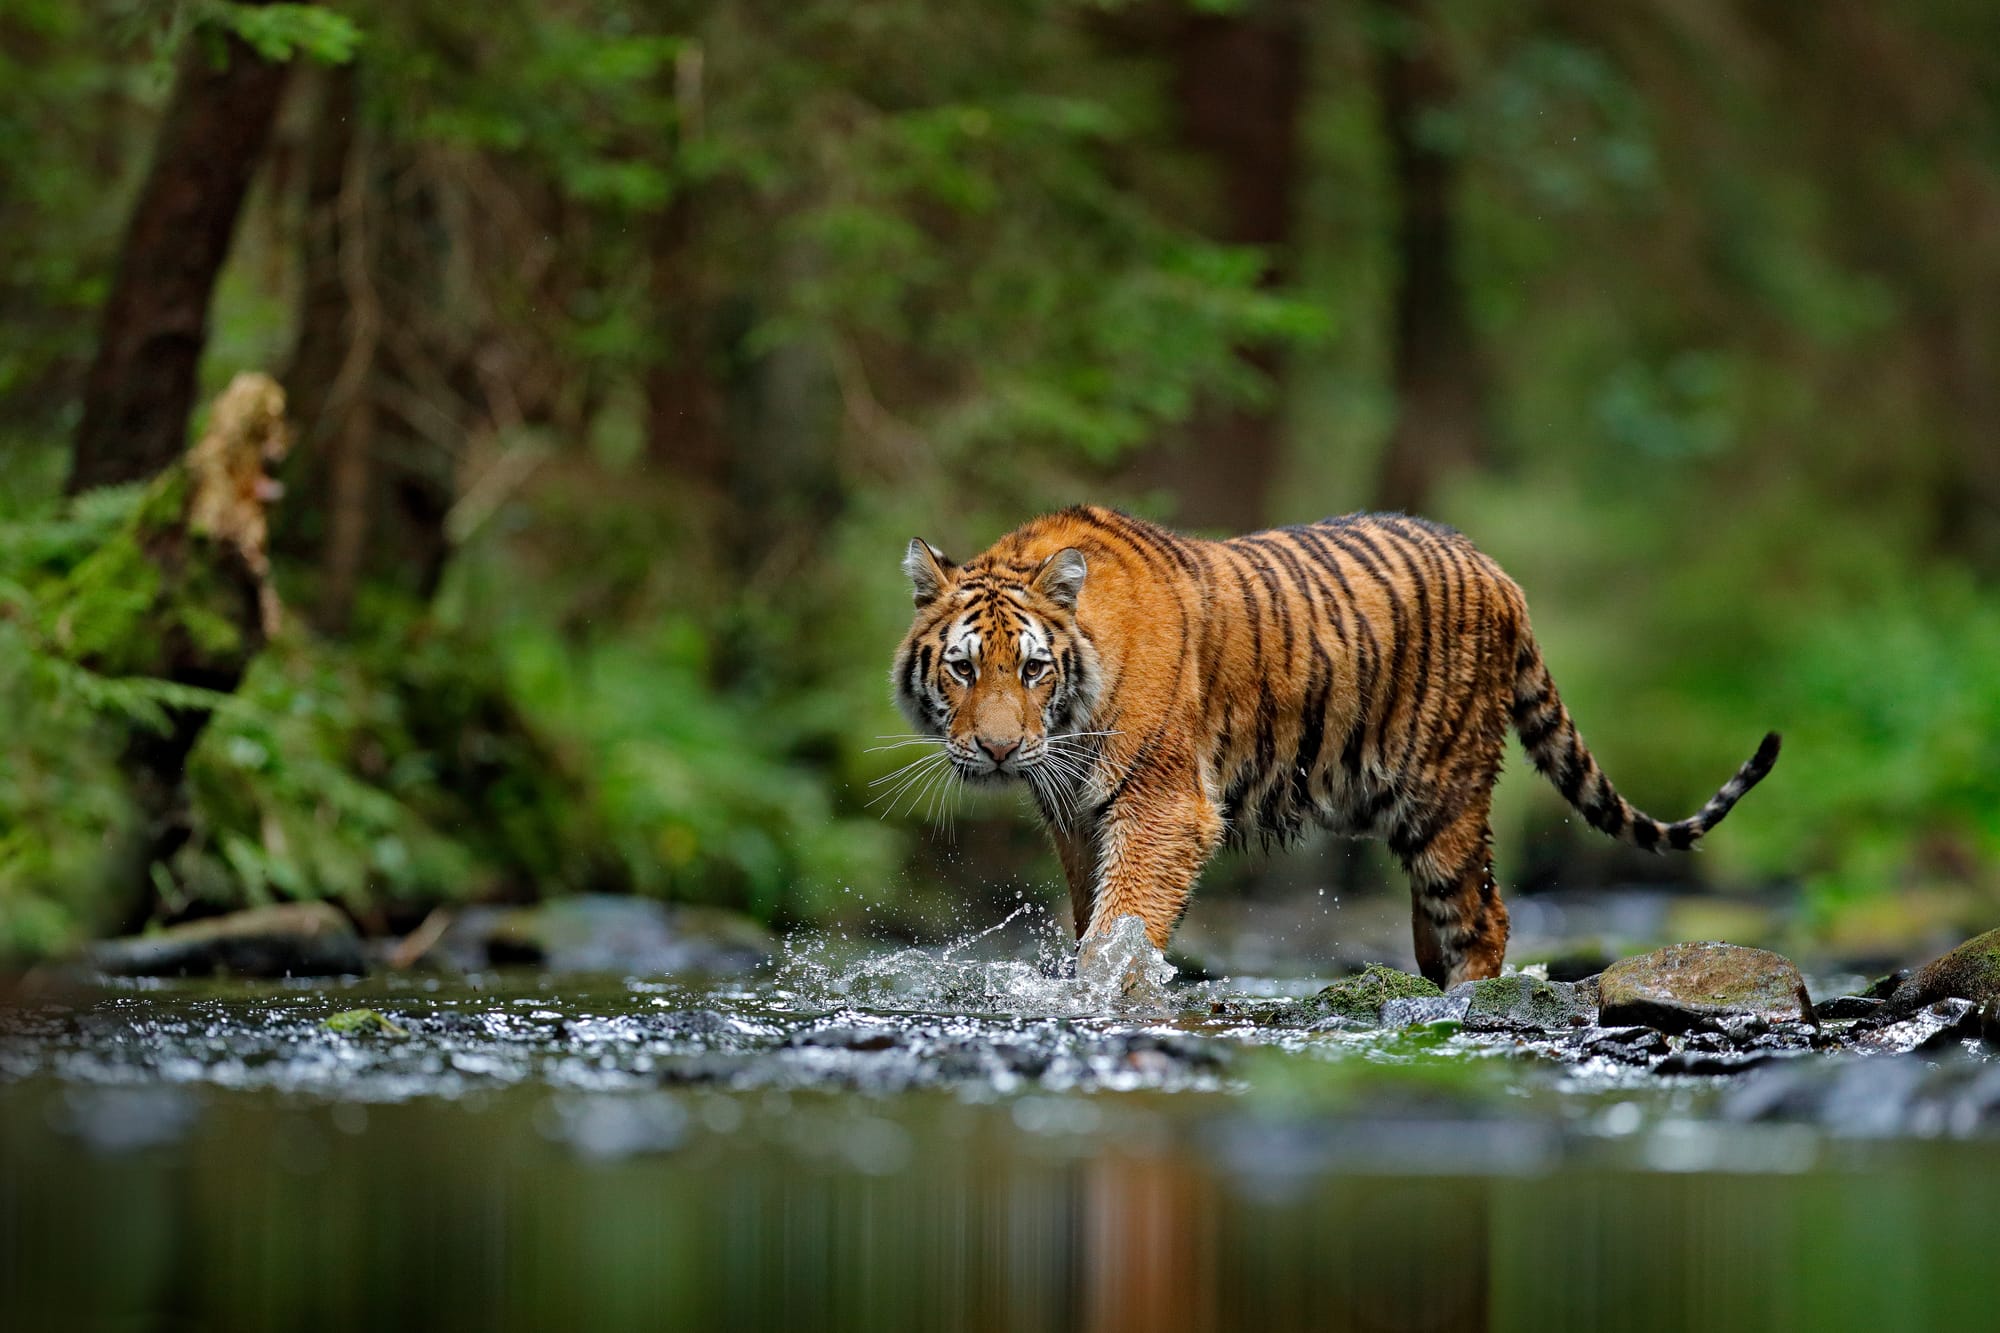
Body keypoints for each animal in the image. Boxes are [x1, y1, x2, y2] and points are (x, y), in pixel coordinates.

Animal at [892, 504, 1784, 980]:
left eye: (1033, 668)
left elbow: (1122, 925)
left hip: (1445, 795)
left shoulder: (1162, 807)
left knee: (1484, 914)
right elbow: (1094, 918)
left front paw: (1106, 992)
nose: (999, 750)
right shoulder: (1078, 817)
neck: (1070, 723)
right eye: (963, 668)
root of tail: (1499, 572)